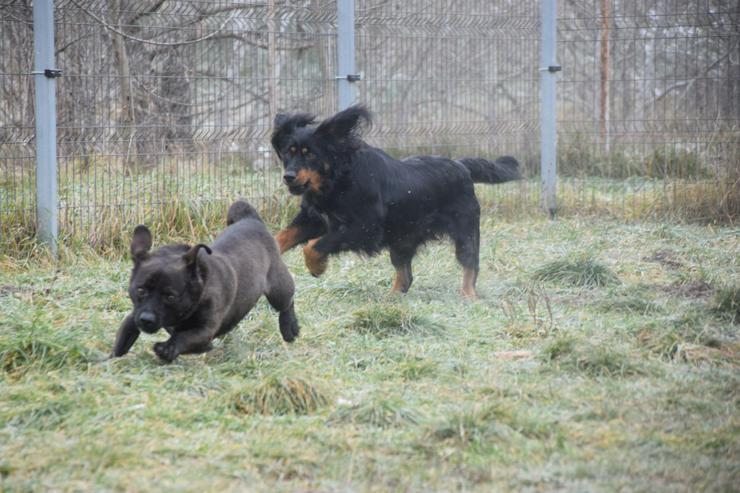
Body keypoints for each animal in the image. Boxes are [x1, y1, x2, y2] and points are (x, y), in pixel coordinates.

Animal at [111, 200, 300, 362]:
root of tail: (251, 219)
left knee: (287, 302)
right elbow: (123, 339)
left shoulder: (204, 330)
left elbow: (184, 337)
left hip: (278, 289)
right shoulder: (134, 316)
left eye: (171, 297)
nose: (146, 319)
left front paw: (168, 348)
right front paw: (111, 360)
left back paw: (290, 327)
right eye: (140, 291)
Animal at [272, 104, 520, 296]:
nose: (288, 177)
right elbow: (281, 237)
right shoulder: (315, 218)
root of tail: (461, 165)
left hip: (465, 230)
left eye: (310, 154)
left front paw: (317, 267)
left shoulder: (365, 227)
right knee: (406, 276)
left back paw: (468, 296)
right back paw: (391, 299)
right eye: (288, 152)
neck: (338, 179)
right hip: (402, 239)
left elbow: (314, 246)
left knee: (470, 265)